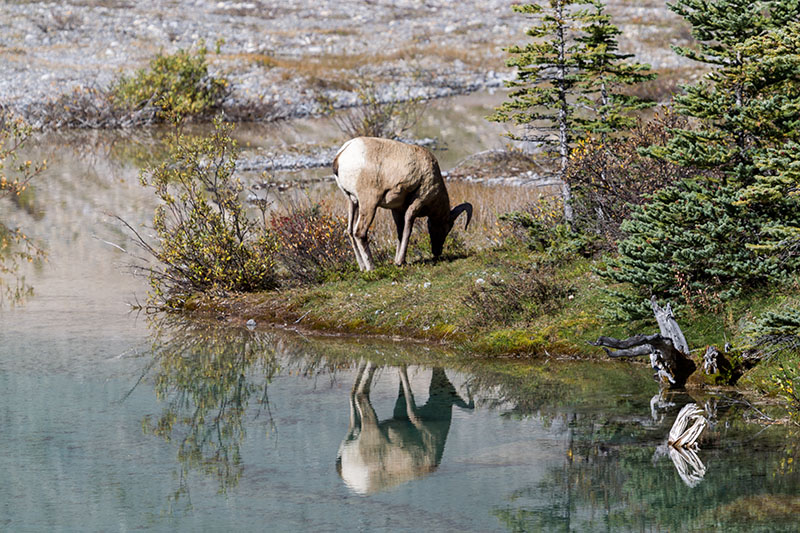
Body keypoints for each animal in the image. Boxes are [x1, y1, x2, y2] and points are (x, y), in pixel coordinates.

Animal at [332, 136, 473, 271]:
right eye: (447, 228)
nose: (437, 252)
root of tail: (341, 155)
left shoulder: (397, 210)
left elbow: (400, 232)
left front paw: (397, 261)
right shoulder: (417, 203)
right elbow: (408, 230)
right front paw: (400, 261)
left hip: (352, 202)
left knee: (350, 231)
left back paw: (362, 267)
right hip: (369, 204)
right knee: (359, 232)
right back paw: (371, 268)